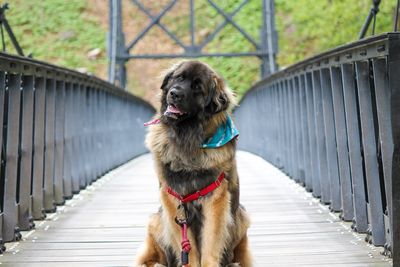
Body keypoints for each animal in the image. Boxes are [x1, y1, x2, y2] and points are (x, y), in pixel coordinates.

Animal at [136, 60, 252, 267]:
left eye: (197, 87)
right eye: (178, 78)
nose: (175, 93)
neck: (186, 140)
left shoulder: (215, 198)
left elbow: (211, 243)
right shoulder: (173, 199)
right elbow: (188, 252)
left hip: (241, 219)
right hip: (156, 221)